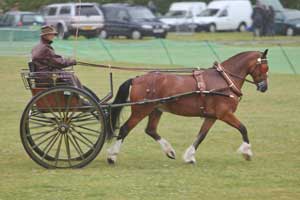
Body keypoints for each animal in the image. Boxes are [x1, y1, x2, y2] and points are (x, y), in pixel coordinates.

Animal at [106, 50, 270, 164]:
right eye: (264, 68)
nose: (264, 87)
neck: (225, 80)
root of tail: (137, 79)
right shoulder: (225, 114)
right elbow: (243, 128)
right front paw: (247, 152)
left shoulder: (212, 117)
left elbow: (201, 135)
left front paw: (190, 156)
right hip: (141, 110)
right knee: (125, 129)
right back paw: (112, 156)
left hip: (156, 110)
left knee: (151, 130)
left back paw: (169, 151)